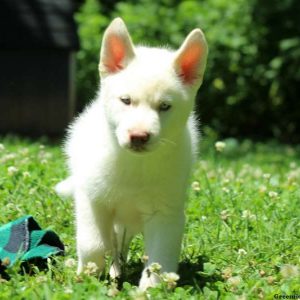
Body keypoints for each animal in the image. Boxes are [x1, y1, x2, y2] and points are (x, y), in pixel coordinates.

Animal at [55, 18, 206, 290]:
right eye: (126, 100)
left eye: (165, 106)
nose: (138, 136)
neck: (136, 165)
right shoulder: (91, 198)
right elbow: (93, 243)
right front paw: (89, 275)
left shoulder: (165, 214)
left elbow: (160, 258)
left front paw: (151, 289)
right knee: (113, 242)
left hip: (130, 223)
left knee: (120, 245)